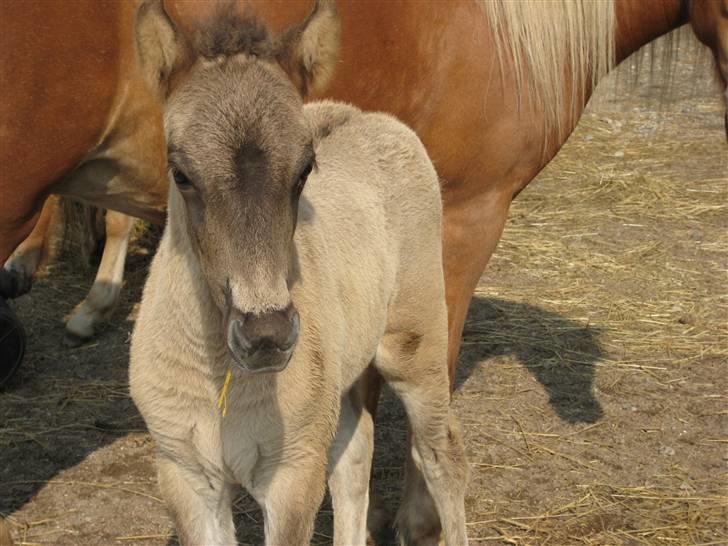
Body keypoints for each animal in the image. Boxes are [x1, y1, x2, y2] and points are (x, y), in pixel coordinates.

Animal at [131, 2, 470, 540]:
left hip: (415, 346)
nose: (265, 334)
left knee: (443, 454)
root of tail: (368, 117)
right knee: (355, 457)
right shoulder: (185, 473)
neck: (223, 378)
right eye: (181, 174)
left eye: (304, 170)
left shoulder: (292, 472)